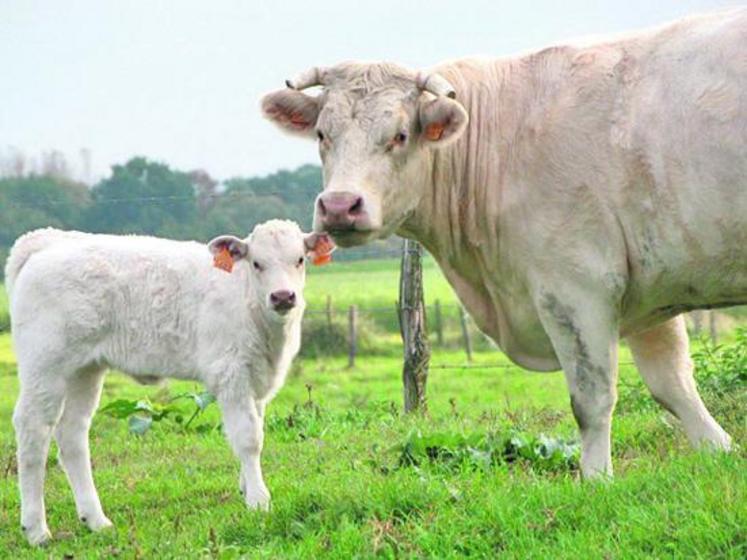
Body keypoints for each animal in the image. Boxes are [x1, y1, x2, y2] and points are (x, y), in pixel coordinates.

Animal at [5, 221, 334, 544]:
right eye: (257, 263)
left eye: (300, 259)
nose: (283, 296)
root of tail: (49, 240)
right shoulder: (230, 373)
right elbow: (249, 439)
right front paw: (258, 501)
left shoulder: (257, 380)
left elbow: (257, 430)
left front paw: (246, 488)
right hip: (45, 366)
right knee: (34, 431)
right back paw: (36, 529)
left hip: (84, 369)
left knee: (72, 434)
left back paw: (96, 520)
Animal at [262, 9, 744, 476]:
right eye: (322, 134)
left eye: (399, 135)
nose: (339, 205)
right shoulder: (644, 290)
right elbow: (672, 383)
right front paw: (722, 450)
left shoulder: (577, 287)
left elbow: (592, 398)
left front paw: (596, 480)